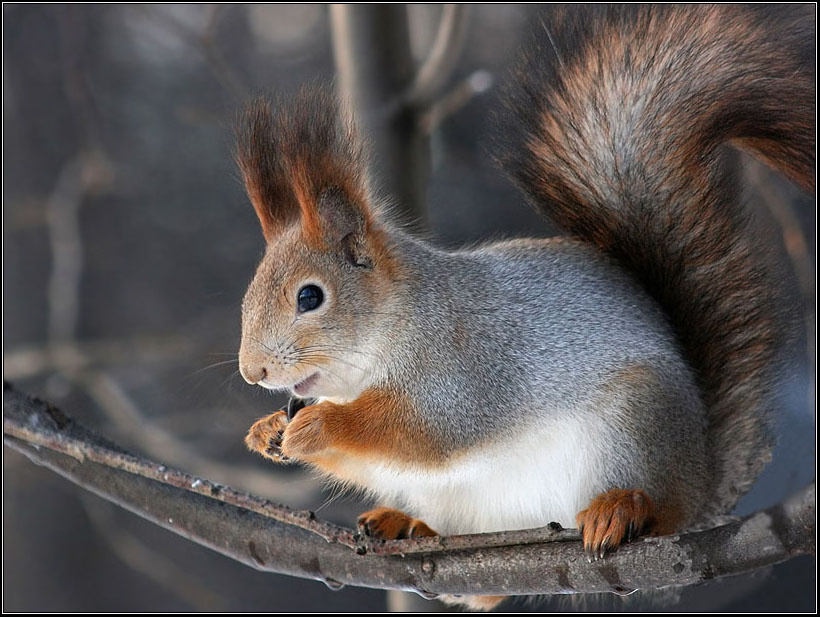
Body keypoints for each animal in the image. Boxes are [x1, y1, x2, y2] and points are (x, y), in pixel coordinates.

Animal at [236, 5, 814, 612]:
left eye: (310, 297)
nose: (253, 372)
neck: (394, 324)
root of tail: (702, 481)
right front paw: (267, 430)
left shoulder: (463, 369)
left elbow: (425, 430)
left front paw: (321, 425)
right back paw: (408, 525)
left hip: (635, 429)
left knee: (661, 510)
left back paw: (622, 508)